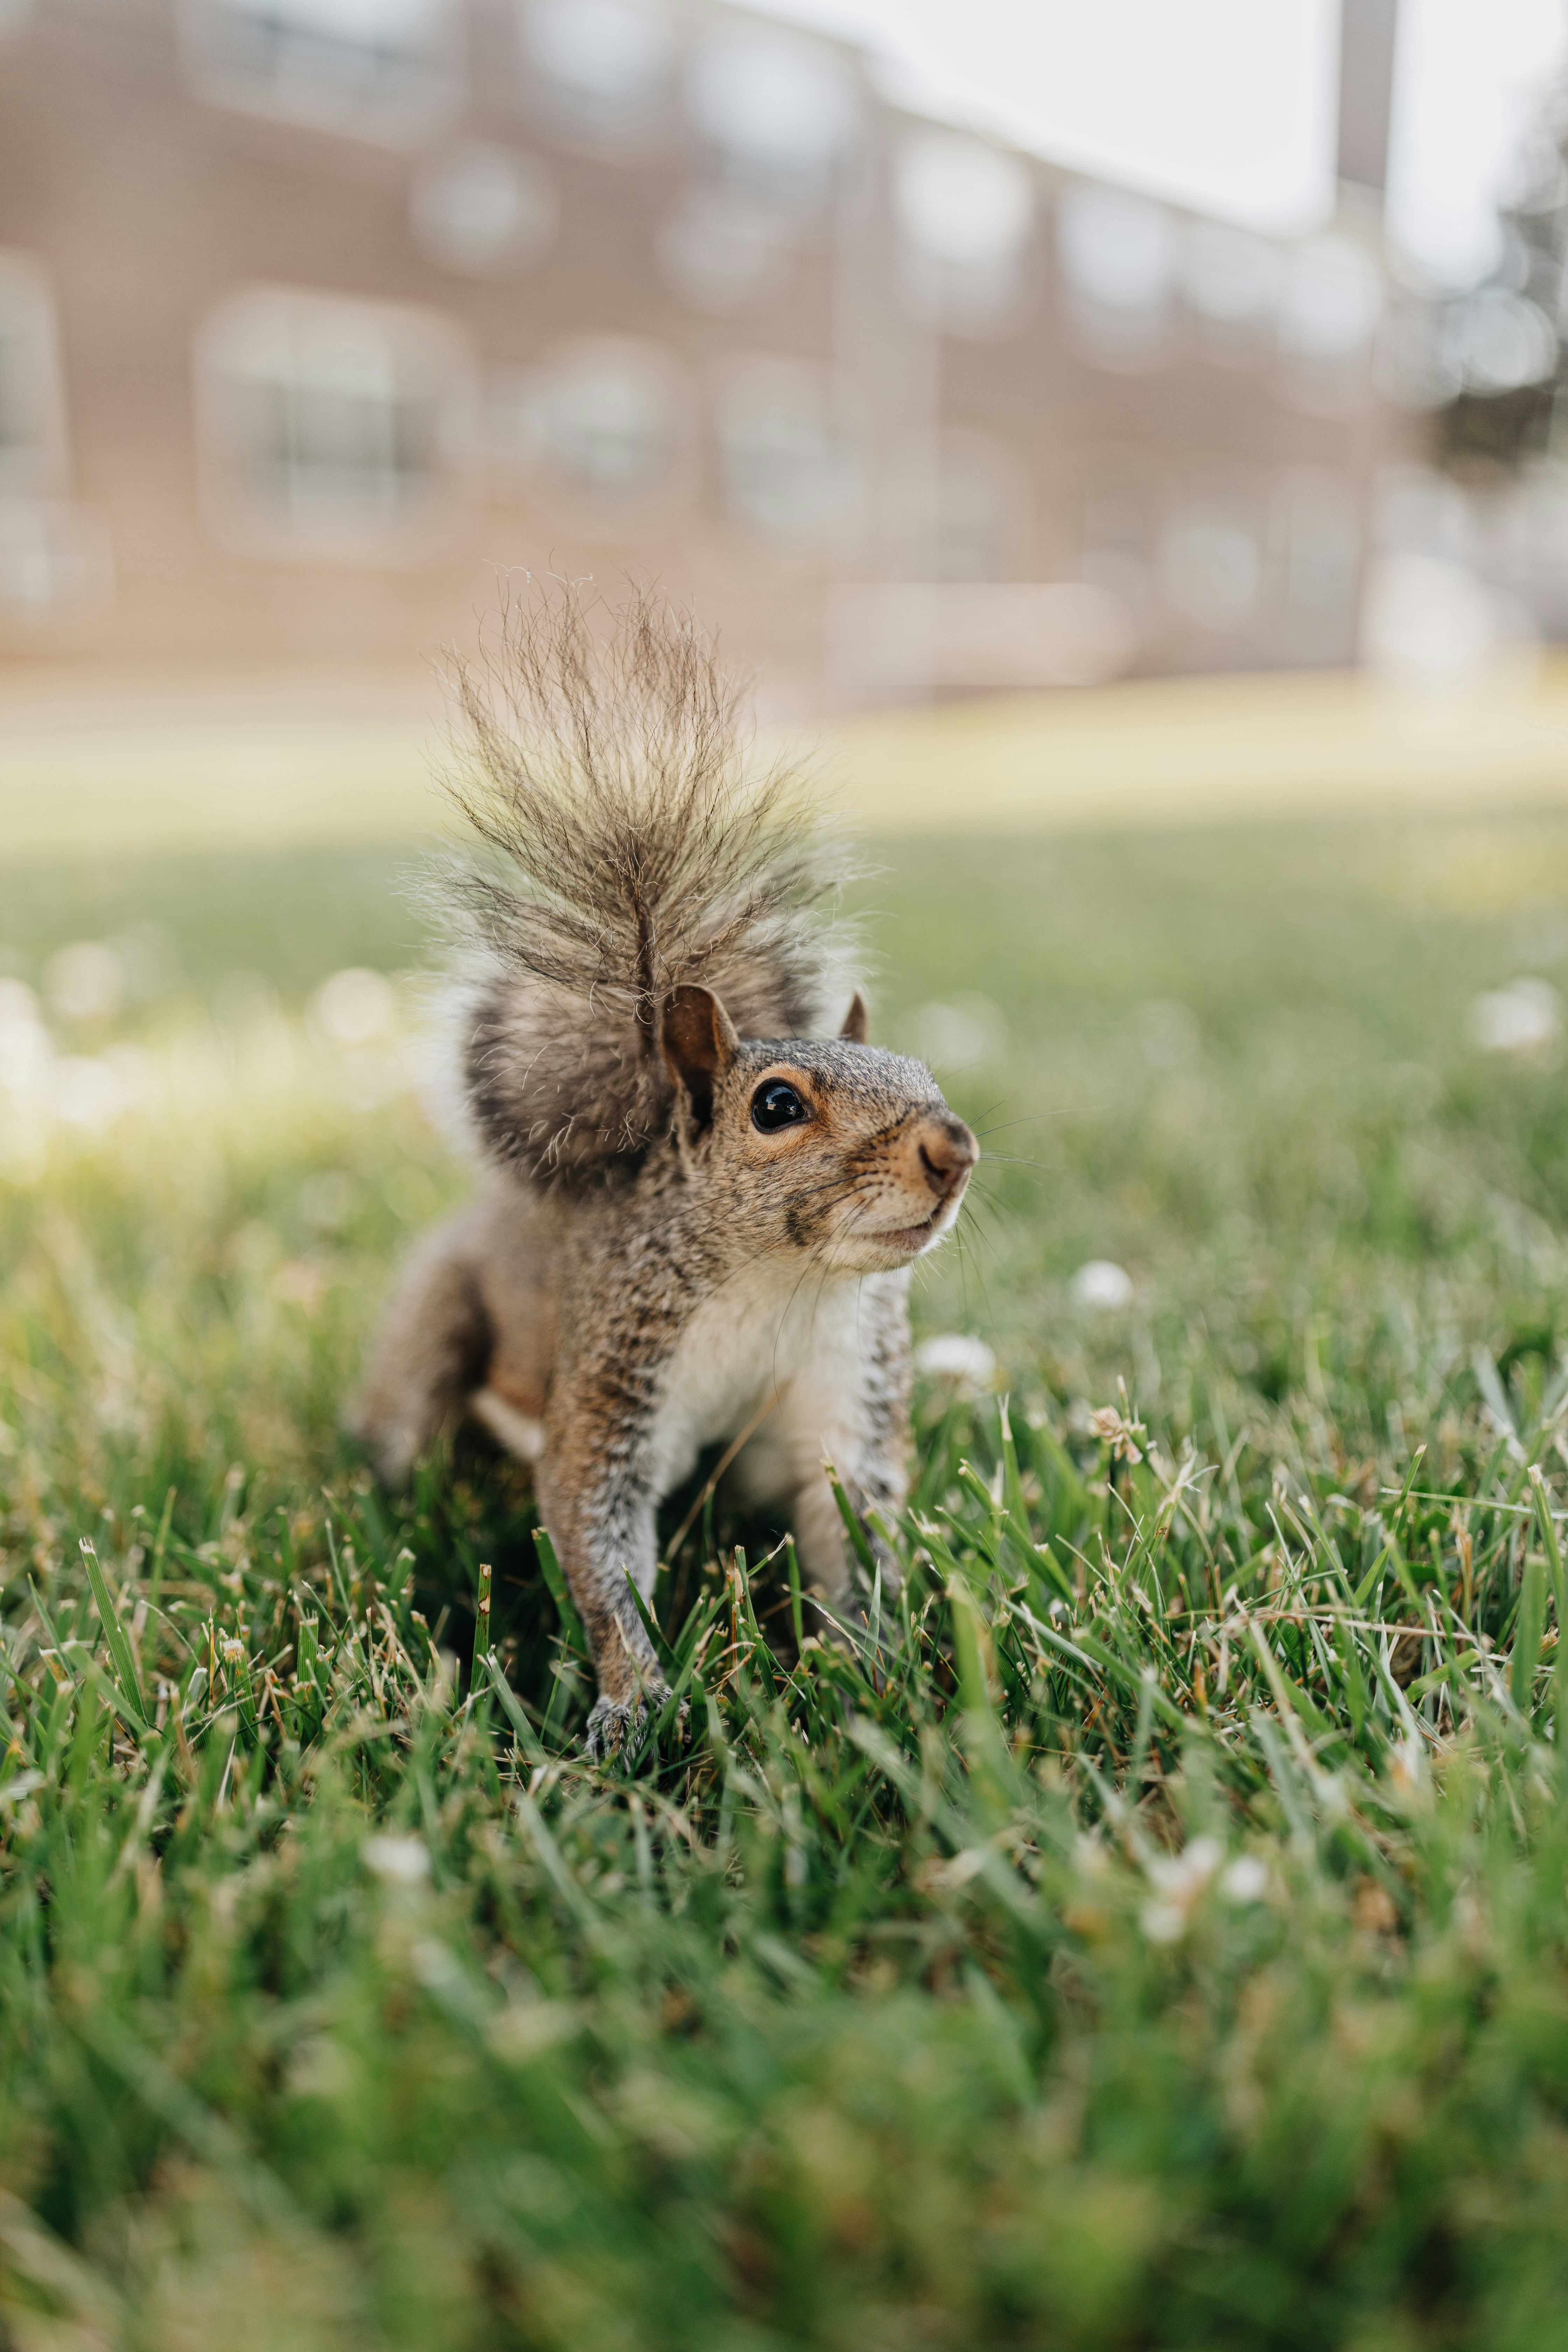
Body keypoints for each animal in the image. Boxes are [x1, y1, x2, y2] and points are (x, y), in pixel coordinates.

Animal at [350, 588, 973, 1759]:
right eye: (775, 1106)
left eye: (923, 1073)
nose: (952, 1152)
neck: (780, 1277)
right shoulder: (617, 1363)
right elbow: (593, 1528)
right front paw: (633, 1701)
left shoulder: (846, 1384)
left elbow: (851, 1534)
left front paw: (869, 1676)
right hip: (436, 1325)